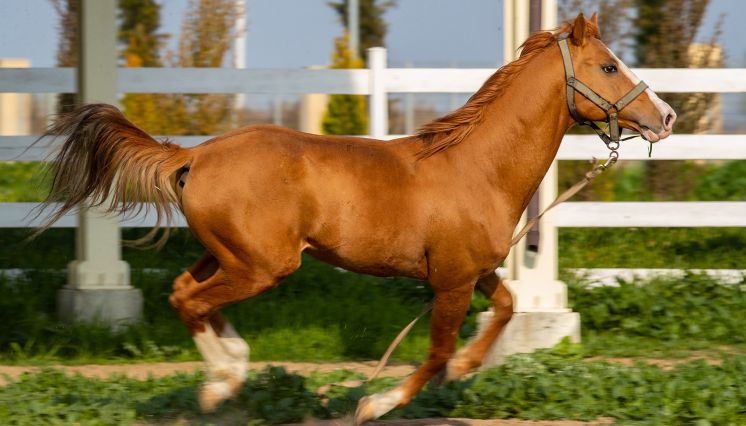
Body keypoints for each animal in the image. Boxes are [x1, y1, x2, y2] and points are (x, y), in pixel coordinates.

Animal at [37, 12, 672, 422]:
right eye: (609, 67)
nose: (664, 116)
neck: (477, 167)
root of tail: (195, 155)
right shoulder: (451, 281)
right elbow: (436, 351)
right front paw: (375, 402)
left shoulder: (474, 271)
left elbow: (508, 306)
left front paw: (470, 366)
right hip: (262, 267)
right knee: (191, 302)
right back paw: (221, 386)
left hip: (228, 255)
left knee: (182, 291)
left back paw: (232, 367)